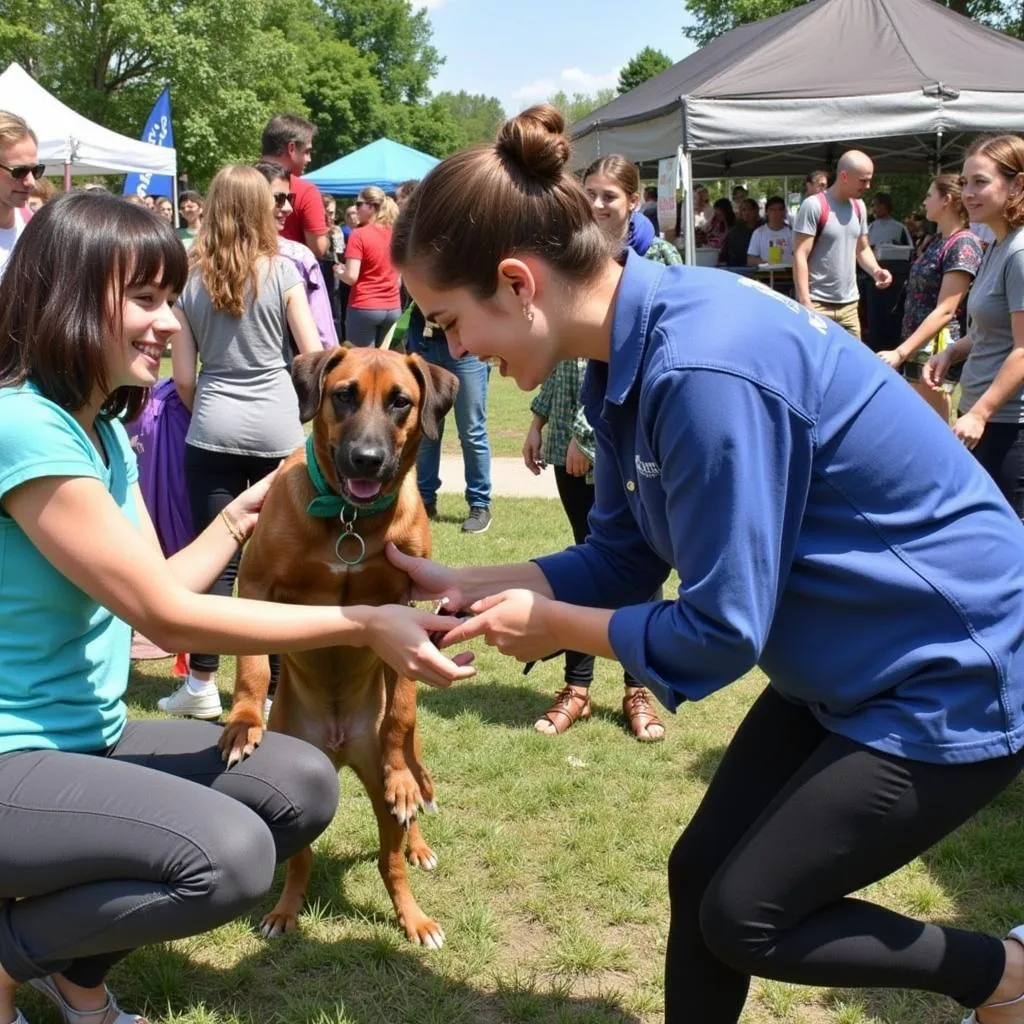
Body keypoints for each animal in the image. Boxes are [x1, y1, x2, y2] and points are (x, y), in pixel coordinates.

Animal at [221, 346, 460, 950]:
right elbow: (252, 667)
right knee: (302, 859)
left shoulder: (406, 603)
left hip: (381, 770)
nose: (367, 460)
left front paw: (404, 786)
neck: (349, 519)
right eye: (344, 394)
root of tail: (337, 745)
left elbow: (401, 708)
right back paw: (285, 910)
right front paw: (242, 723)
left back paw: (414, 898)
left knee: (393, 850)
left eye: (401, 401)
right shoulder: (254, 582)